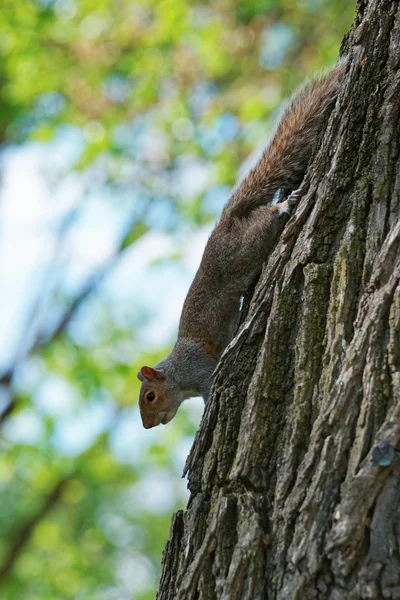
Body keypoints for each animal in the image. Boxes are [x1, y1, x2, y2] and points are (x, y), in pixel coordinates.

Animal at [137, 59, 344, 426]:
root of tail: (226, 224)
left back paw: (284, 207)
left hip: (243, 250)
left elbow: (210, 387)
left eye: (150, 396)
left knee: (264, 223)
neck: (177, 373)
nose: (149, 425)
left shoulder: (199, 371)